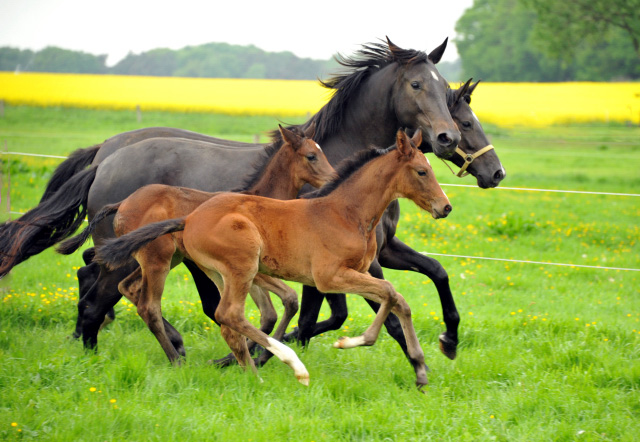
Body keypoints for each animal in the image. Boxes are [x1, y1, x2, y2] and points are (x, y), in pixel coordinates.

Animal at [57, 125, 336, 362]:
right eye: (312, 156)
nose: (334, 178)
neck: (258, 201)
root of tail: (122, 203)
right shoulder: (247, 269)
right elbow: (275, 307)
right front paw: (253, 356)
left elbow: (268, 312)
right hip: (153, 260)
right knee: (141, 305)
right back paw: (172, 357)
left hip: (165, 259)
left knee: (128, 288)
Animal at [94, 129, 450, 388]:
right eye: (422, 171)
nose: (444, 207)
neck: (346, 212)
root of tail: (190, 218)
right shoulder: (329, 277)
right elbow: (388, 294)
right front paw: (355, 341)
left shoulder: (356, 273)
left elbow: (397, 301)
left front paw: (420, 369)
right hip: (214, 265)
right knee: (212, 312)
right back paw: (281, 364)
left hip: (213, 270)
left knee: (222, 321)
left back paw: (248, 370)